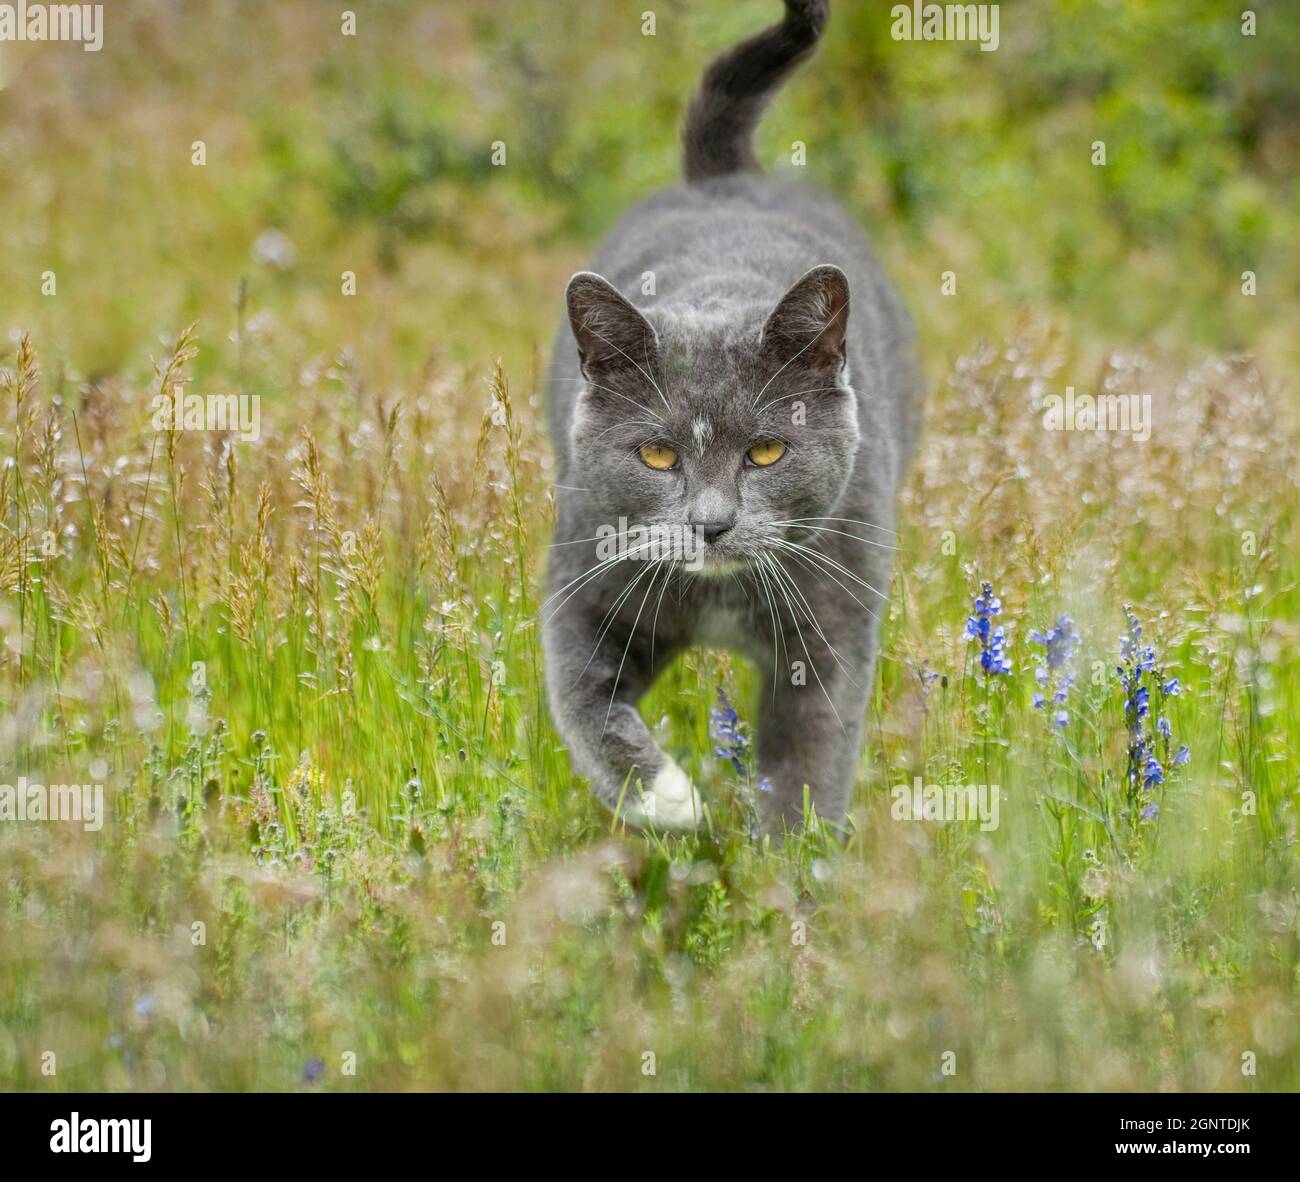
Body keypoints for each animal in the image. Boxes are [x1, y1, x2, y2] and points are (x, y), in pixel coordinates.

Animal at [543, 0, 920, 832]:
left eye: (768, 452)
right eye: (656, 455)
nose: (710, 524)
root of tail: (727, 179)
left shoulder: (832, 626)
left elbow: (807, 761)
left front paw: (788, 858)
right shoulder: (585, 579)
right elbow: (582, 703)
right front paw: (671, 800)